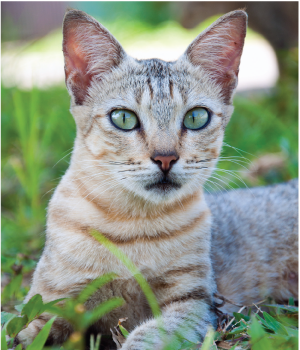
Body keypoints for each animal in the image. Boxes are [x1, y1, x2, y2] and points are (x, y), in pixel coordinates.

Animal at [14, 8, 298, 350]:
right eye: (123, 118)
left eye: (196, 117)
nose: (166, 158)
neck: (131, 225)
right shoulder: (52, 303)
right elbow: (24, 333)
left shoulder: (193, 303)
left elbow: (145, 337)